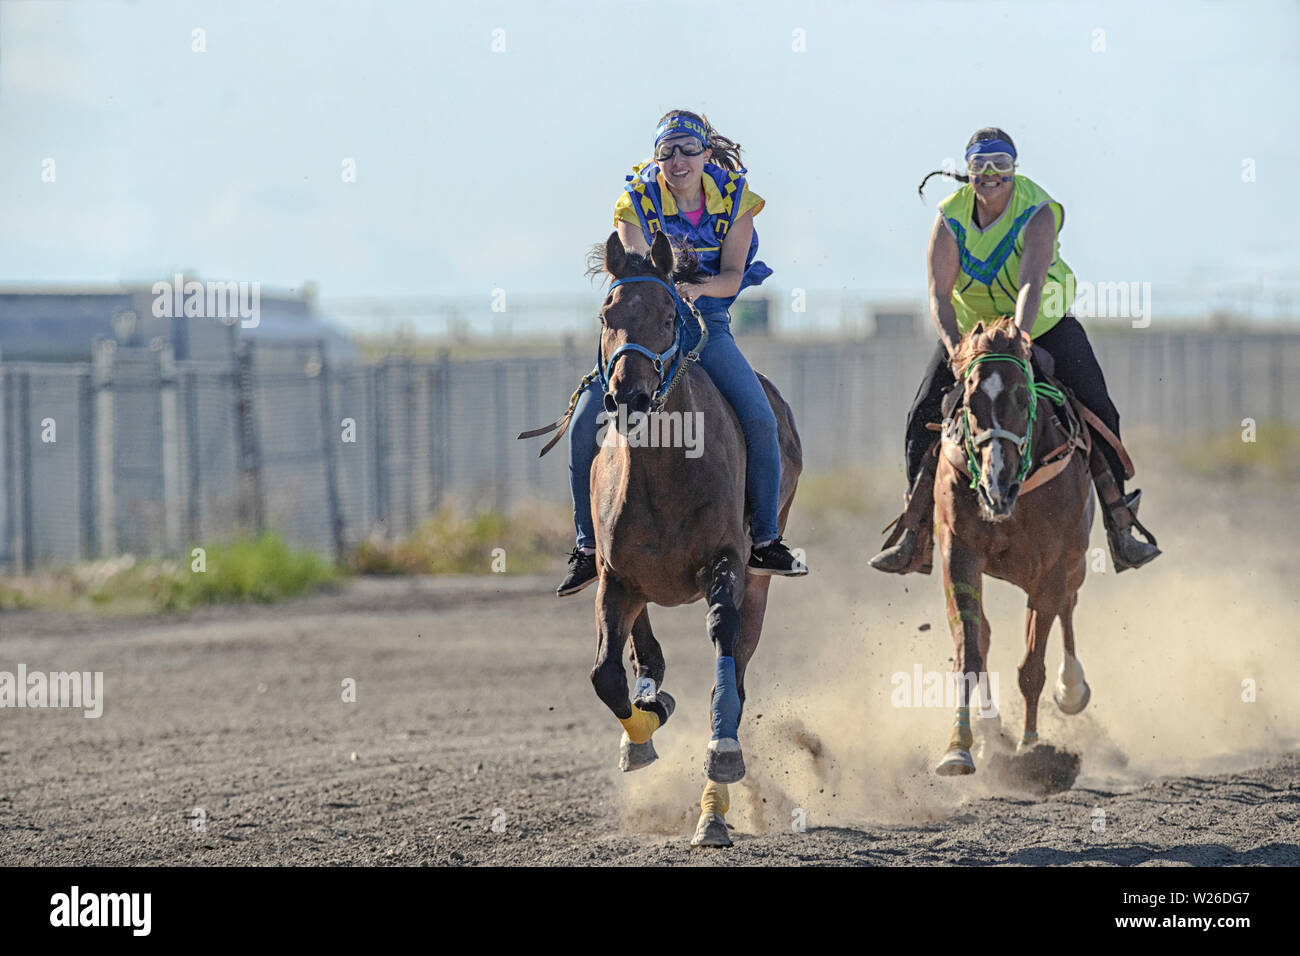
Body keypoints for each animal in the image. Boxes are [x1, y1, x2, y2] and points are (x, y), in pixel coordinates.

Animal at [583, 230, 802, 847]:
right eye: (606, 315)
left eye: (666, 315)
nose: (626, 396)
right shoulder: (615, 579)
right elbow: (606, 674)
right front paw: (645, 723)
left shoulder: (724, 566)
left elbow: (723, 659)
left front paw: (721, 759)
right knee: (642, 649)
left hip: (759, 580)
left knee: (739, 676)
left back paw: (713, 813)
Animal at [931, 317, 1096, 777]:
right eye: (968, 403)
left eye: (1024, 399)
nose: (996, 486)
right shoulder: (958, 553)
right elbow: (970, 650)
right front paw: (958, 747)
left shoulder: (1054, 567)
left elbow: (1031, 667)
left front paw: (1031, 749)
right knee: (987, 634)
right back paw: (991, 727)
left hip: (1074, 564)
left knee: (1067, 608)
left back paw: (1071, 688)